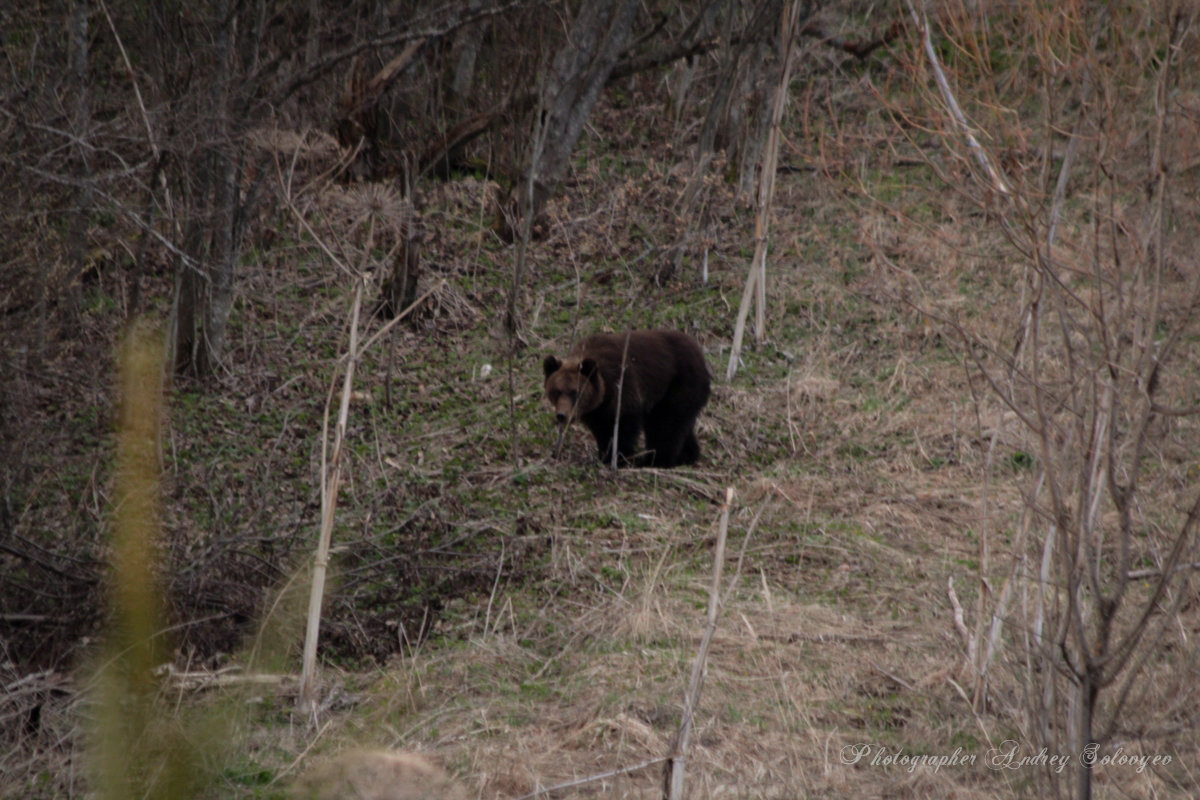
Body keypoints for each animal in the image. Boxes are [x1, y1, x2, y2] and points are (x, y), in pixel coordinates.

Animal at [547, 331, 710, 470]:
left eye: (575, 393)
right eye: (556, 391)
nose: (562, 415)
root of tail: (700, 355)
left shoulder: (623, 389)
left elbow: (622, 429)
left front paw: (619, 459)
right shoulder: (598, 410)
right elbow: (602, 430)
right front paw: (604, 456)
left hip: (678, 384)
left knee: (665, 425)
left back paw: (656, 461)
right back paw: (687, 456)